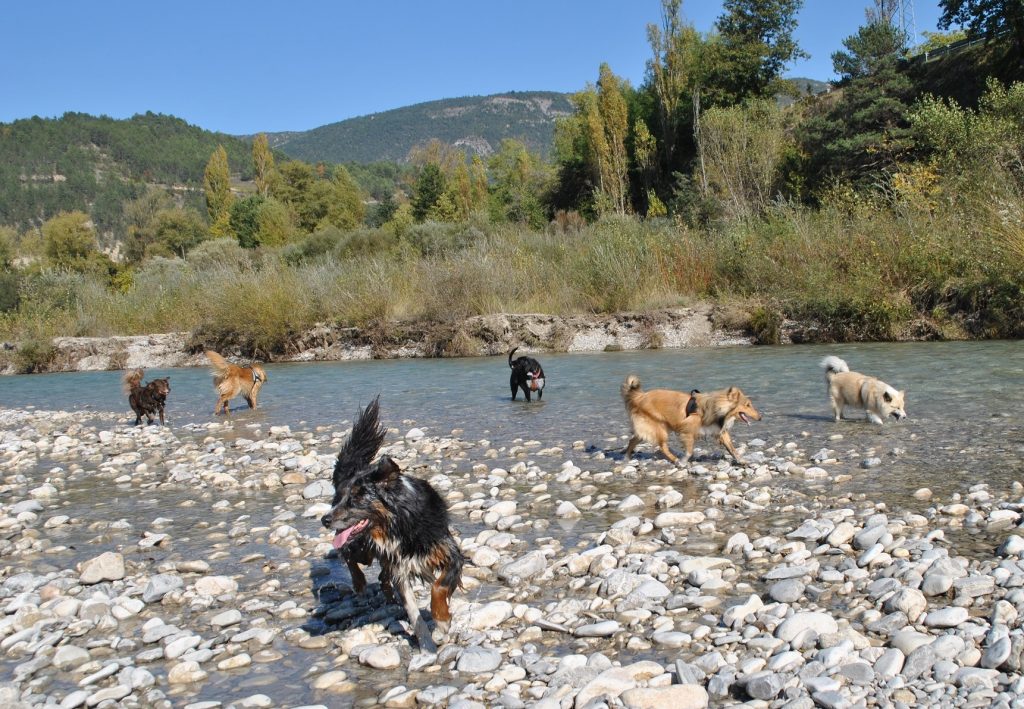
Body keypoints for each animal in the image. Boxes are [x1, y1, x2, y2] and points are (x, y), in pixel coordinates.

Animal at [319, 395, 464, 651]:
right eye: (341, 498)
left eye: (356, 498)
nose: (325, 519)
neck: (400, 524)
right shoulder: (400, 567)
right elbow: (414, 613)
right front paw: (427, 644)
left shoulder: (449, 552)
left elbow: (439, 586)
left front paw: (442, 619)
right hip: (363, 549)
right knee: (350, 557)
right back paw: (360, 584)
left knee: (380, 576)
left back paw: (386, 594)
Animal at [618, 372, 765, 467]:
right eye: (747, 405)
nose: (760, 417)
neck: (717, 408)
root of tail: (640, 396)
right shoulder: (687, 430)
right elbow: (689, 451)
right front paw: (683, 461)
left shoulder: (719, 431)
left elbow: (732, 448)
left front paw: (741, 461)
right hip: (660, 428)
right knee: (663, 447)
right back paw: (676, 460)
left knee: (633, 440)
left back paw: (626, 458)